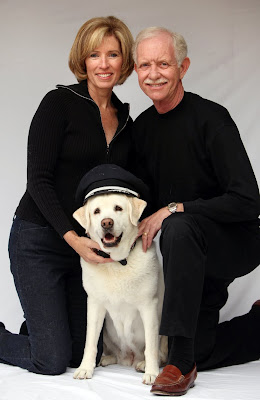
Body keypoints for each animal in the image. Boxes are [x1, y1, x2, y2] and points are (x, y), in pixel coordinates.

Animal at [72, 173, 168, 384]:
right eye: (97, 211)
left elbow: (151, 346)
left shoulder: (149, 307)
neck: (117, 262)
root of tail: (129, 358)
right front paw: (85, 368)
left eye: (118, 208)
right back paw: (106, 359)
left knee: (158, 352)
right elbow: (90, 342)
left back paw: (143, 365)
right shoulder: (94, 305)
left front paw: (151, 373)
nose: (106, 223)